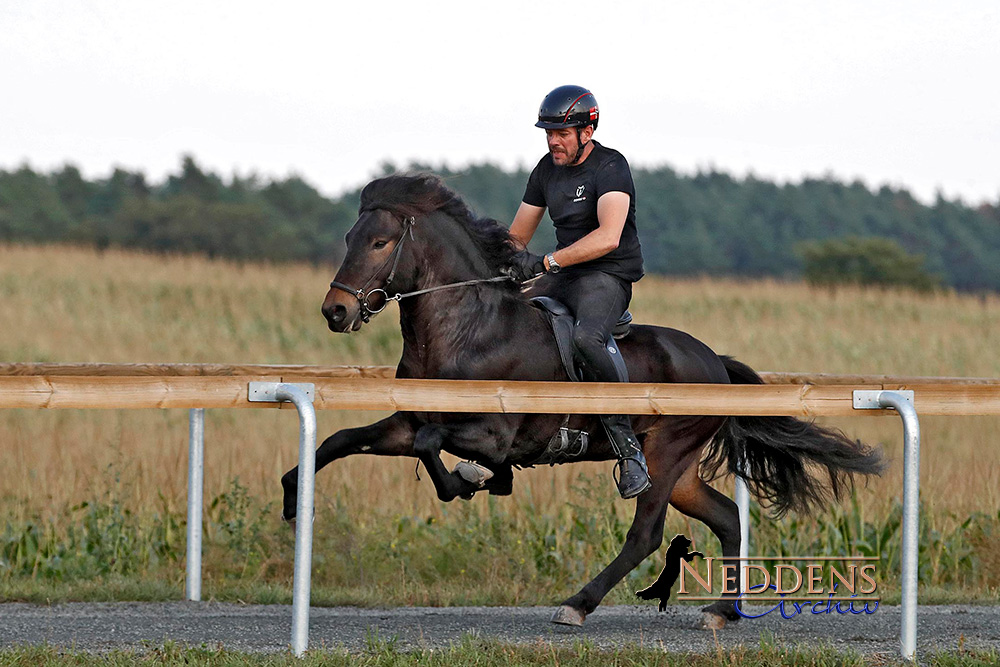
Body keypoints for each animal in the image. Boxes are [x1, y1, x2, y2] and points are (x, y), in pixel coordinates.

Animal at [280, 175, 884, 628]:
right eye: (350, 237)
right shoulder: (408, 420)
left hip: (664, 456)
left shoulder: (492, 431)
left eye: (381, 243)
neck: (467, 328)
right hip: (681, 470)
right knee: (726, 518)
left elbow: (439, 450)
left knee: (646, 534)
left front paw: (471, 481)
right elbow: (342, 439)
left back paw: (579, 603)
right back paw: (723, 610)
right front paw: (291, 497)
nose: (335, 311)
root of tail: (714, 361)